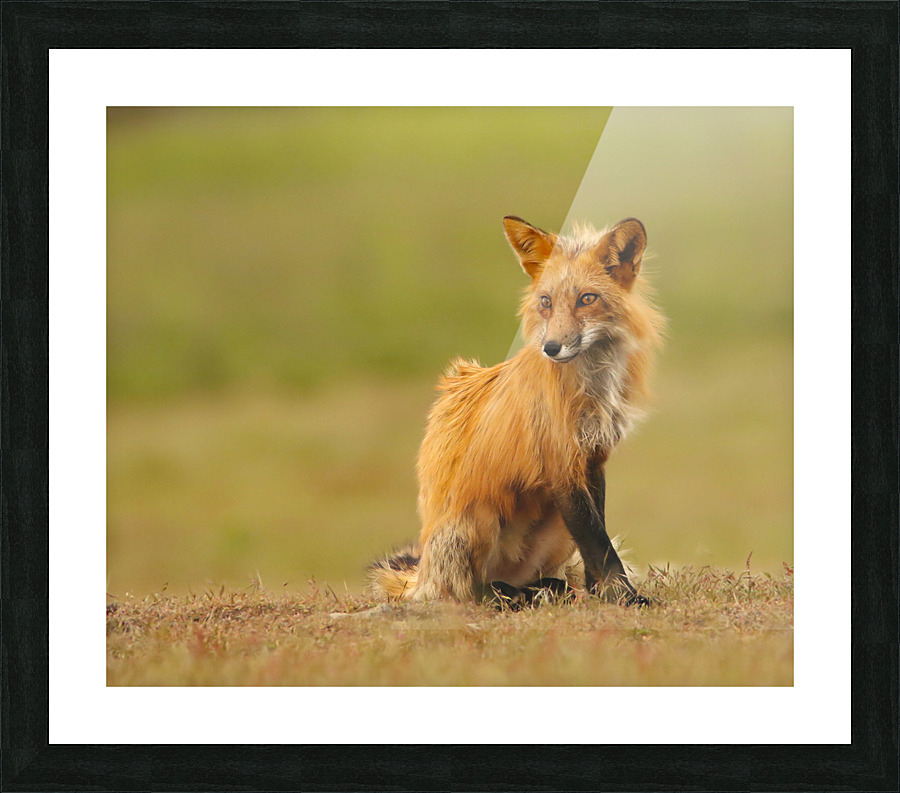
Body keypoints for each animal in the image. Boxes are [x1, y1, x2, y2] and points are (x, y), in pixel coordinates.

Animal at [369, 215, 664, 605]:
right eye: (546, 301)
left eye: (587, 299)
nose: (551, 347)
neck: (591, 388)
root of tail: (424, 574)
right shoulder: (561, 465)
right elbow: (597, 542)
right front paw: (623, 598)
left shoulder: (593, 459)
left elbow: (597, 540)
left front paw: (602, 594)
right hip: (481, 518)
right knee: (471, 590)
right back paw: (512, 596)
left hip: (555, 530)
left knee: (531, 578)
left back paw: (548, 590)